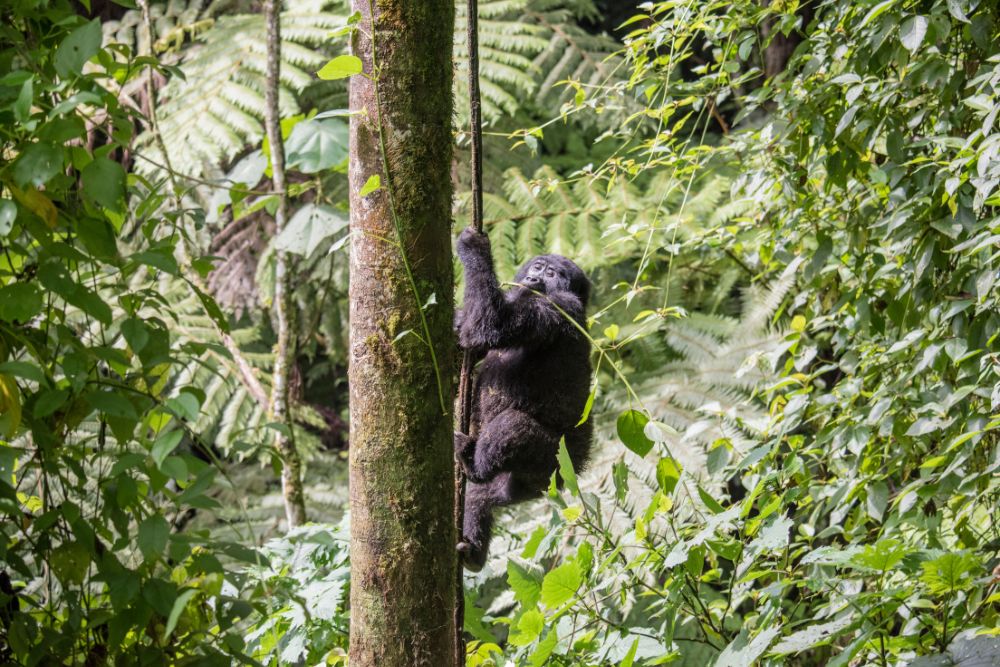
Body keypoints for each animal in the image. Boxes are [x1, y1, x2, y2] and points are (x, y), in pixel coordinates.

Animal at [454, 228, 593, 571]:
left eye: (552, 273)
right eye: (538, 266)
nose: (534, 276)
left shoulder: (557, 307)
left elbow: (491, 324)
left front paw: (474, 248)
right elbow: (472, 335)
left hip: (552, 463)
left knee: (511, 426)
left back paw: (473, 465)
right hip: (524, 485)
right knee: (482, 495)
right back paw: (473, 552)